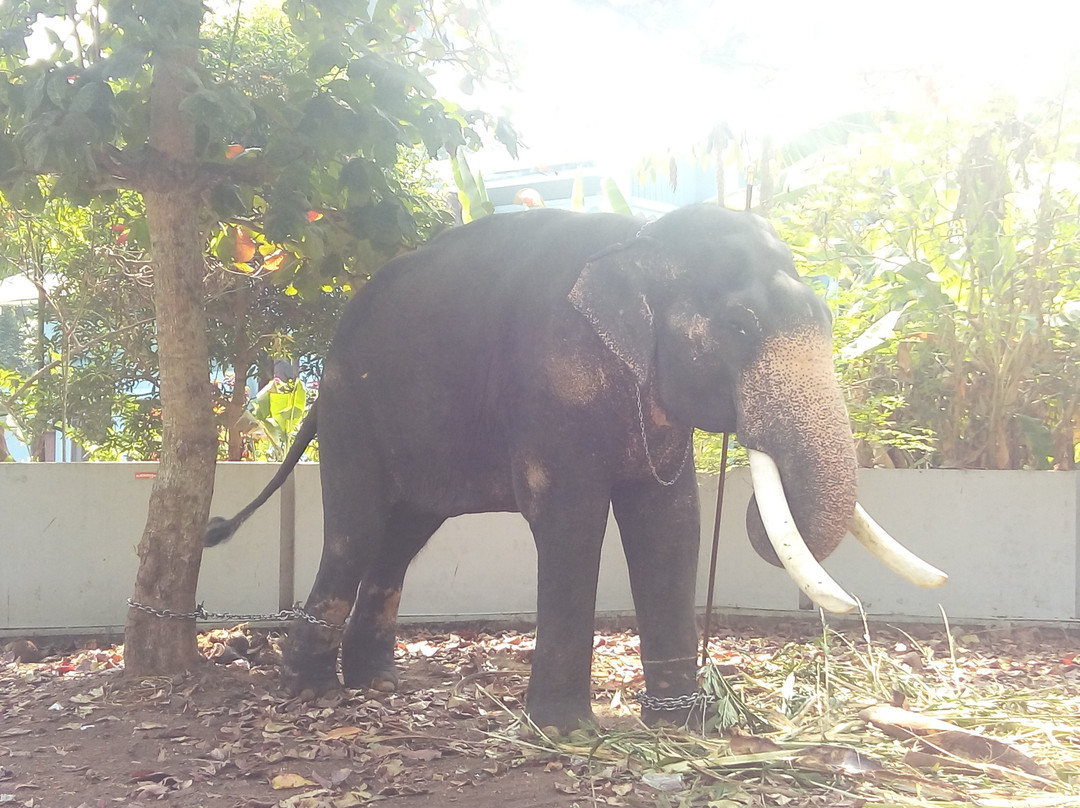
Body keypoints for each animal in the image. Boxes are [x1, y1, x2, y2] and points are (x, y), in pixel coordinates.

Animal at [204, 203, 946, 730]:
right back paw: (308, 690)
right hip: (354, 411)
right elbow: (571, 522)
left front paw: (682, 726)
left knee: (402, 537)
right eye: (738, 327)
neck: (640, 241)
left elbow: (670, 525)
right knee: (356, 531)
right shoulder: (549, 382)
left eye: (828, 317)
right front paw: (564, 731)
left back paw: (375, 682)